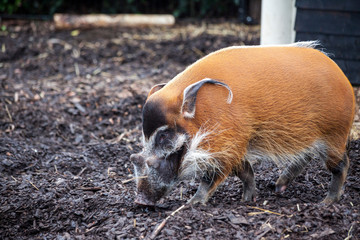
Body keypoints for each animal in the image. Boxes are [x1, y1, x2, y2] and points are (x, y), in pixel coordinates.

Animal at [129, 41, 354, 206]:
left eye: (164, 135)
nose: (140, 201)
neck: (204, 115)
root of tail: (343, 78)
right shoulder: (235, 146)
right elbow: (245, 171)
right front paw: (248, 200)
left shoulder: (225, 147)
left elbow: (212, 177)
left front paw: (191, 204)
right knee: (305, 156)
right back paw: (278, 187)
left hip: (333, 134)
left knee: (342, 164)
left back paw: (327, 202)